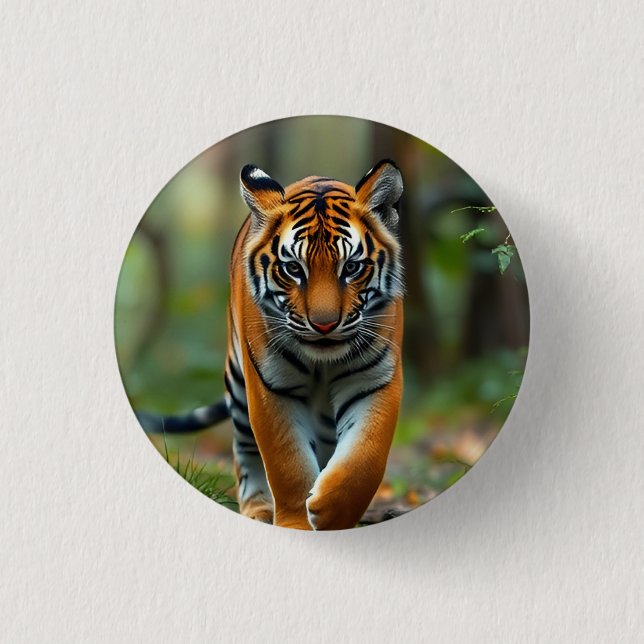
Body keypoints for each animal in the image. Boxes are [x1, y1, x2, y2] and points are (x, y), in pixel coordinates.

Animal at [140, 159, 404, 530]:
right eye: (293, 268)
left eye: (351, 267)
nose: (324, 324)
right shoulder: (271, 386)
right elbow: (286, 463)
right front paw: (297, 523)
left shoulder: (374, 381)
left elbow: (365, 458)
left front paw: (329, 513)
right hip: (238, 387)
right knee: (245, 450)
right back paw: (258, 509)